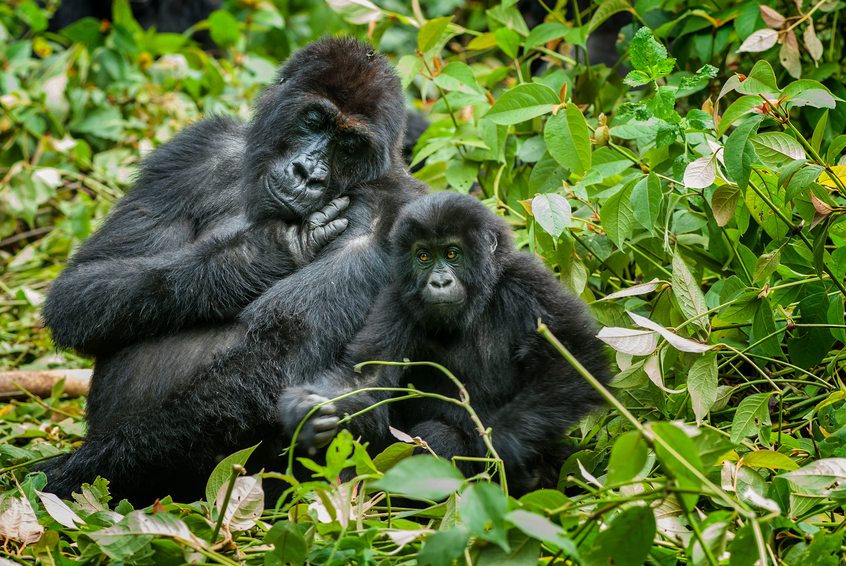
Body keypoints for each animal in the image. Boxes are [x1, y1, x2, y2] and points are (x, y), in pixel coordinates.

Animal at [42, 37, 428, 504]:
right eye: (314, 120)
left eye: (351, 145)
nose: (308, 174)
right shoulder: (195, 149)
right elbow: (79, 289)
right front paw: (259, 255)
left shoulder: (393, 212)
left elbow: (280, 353)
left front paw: (75, 472)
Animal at [282, 193, 612, 494]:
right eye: (424, 256)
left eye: (452, 254)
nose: (439, 282)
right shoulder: (397, 300)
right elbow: (365, 377)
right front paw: (306, 410)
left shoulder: (528, 283)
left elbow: (575, 360)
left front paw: (504, 442)